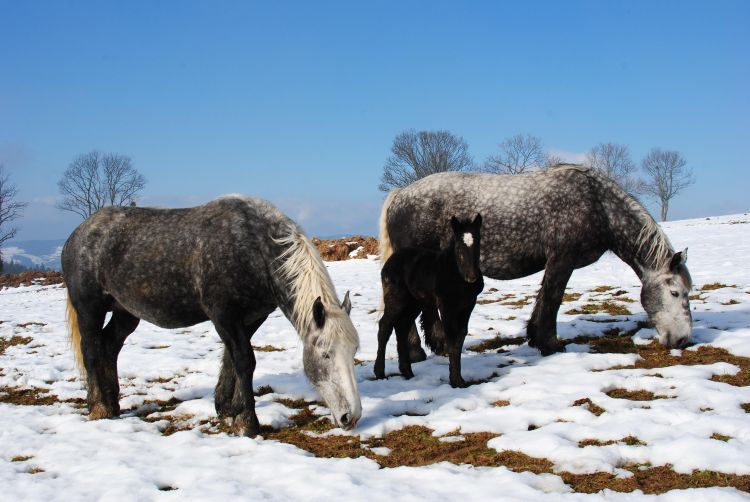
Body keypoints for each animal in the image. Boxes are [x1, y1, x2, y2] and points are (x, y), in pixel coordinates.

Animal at [63, 196, 362, 436]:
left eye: (353, 353)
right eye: (325, 354)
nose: (351, 417)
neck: (253, 248)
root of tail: (77, 234)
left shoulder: (252, 317)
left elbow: (233, 360)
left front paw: (227, 408)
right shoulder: (224, 316)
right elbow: (244, 361)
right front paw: (247, 422)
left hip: (125, 313)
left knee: (110, 346)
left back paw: (113, 404)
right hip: (89, 308)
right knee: (91, 349)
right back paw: (99, 408)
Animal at [374, 213, 484, 388]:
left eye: (478, 243)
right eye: (459, 246)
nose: (471, 276)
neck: (457, 275)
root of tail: (390, 262)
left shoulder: (468, 305)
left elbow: (460, 336)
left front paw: (460, 380)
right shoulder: (446, 306)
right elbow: (451, 337)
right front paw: (455, 381)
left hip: (414, 303)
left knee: (402, 327)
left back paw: (407, 372)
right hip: (396, 298)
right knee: (385, 326)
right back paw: (379, 373)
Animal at [378, 167, 696, 354]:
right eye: (675, 292)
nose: (683, 340)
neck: (597, 204)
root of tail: (400, 195)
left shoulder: (554, 262)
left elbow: (543, 299)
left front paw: (534, 337)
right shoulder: (562, 259)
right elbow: (553, 299)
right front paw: (550, 344)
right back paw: (431, 348)